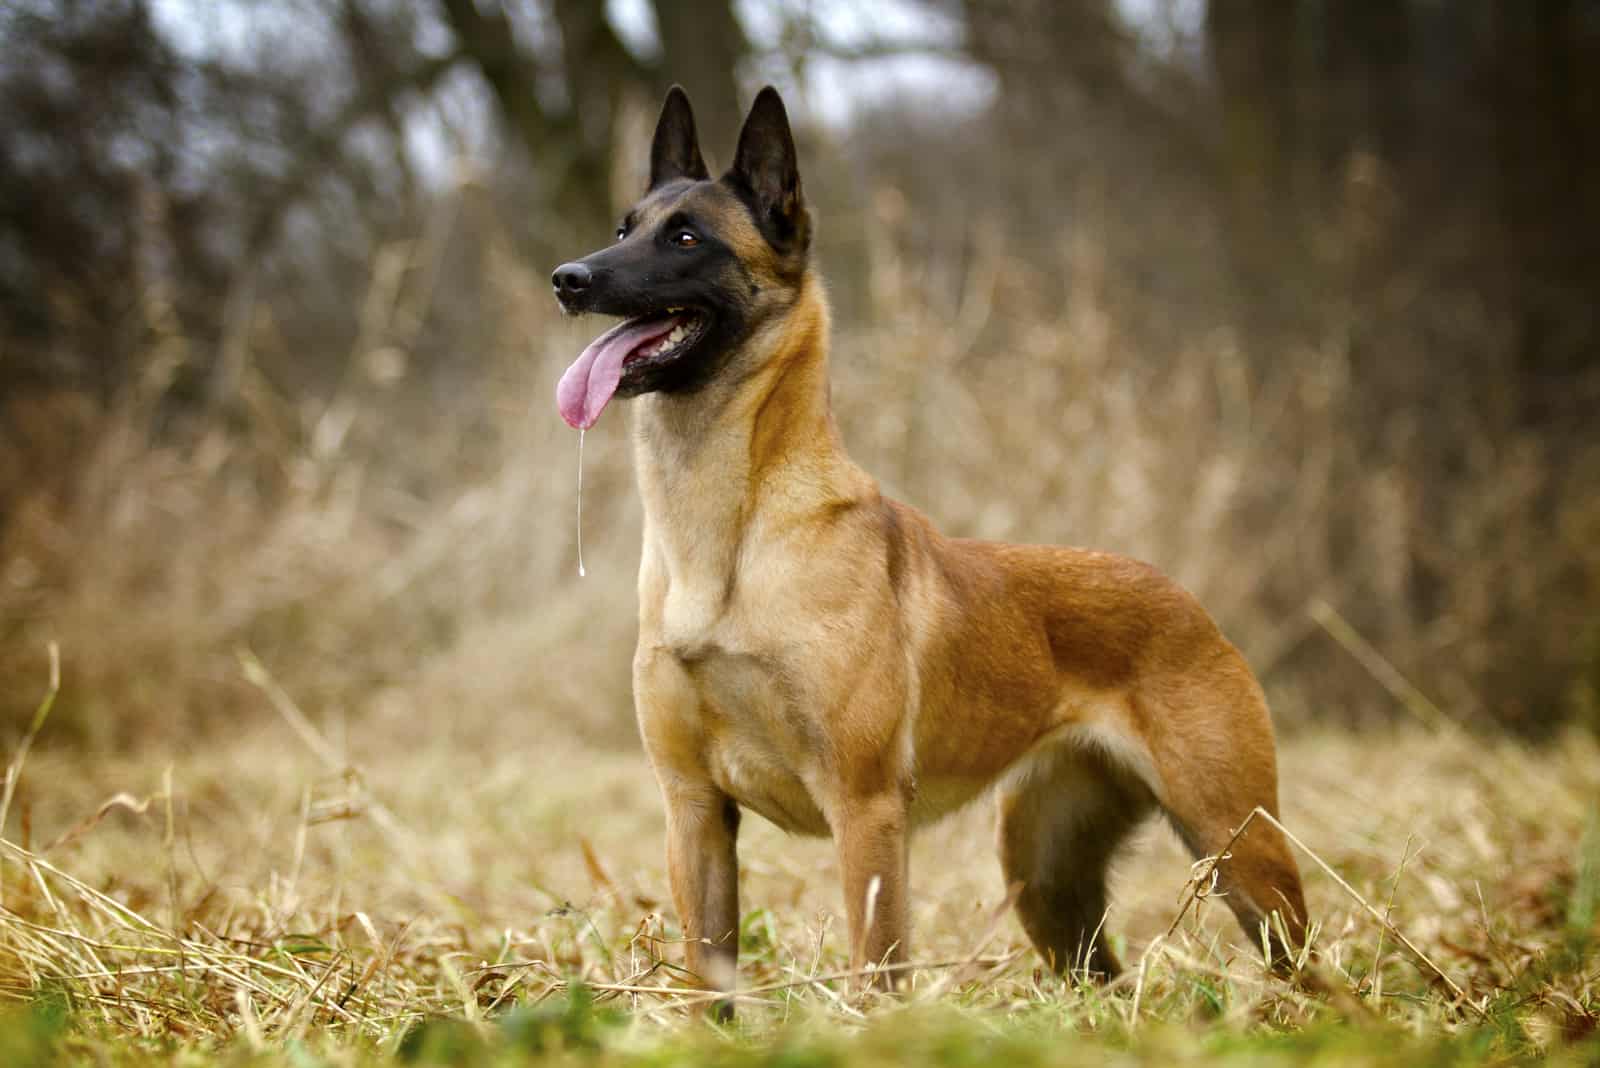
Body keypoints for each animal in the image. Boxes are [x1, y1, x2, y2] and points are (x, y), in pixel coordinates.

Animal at [556, 87, 1305, 1004]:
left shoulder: (866, 809)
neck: (727, 540)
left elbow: (878, 968)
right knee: (1100, 979)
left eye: (687, 238)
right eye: (624, 226)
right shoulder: (694, 810)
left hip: (1241, 851)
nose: (568, 279)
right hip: (1046, 876)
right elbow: (711, 981)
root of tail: (1185, 598)